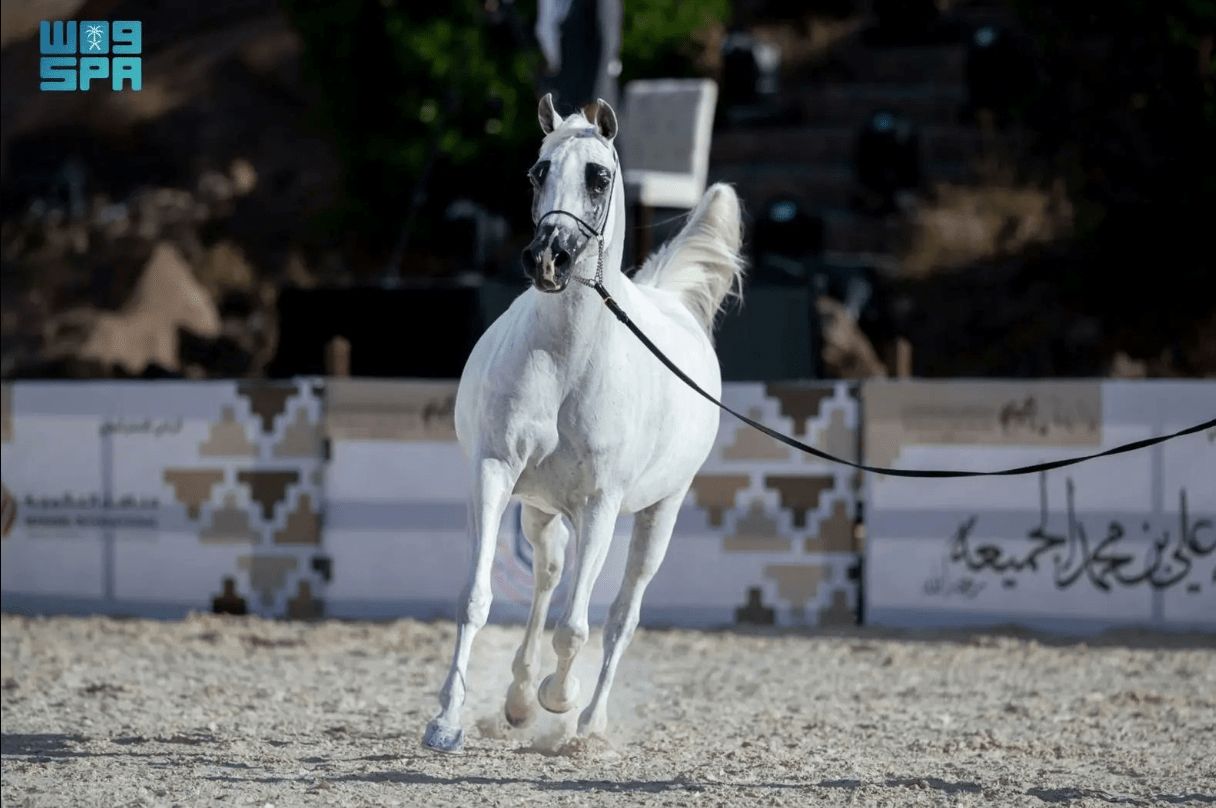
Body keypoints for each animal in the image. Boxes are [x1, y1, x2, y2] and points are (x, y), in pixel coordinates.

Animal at [428, 97, 749, 754]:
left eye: (598, 176)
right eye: (537, 172)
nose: (548, 258)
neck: (567, 360)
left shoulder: (602, 504)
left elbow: (577, 626)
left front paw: (562, 699)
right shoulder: (495, 473)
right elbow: (477, 596)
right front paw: (446, 722)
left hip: (657, 513)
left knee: (622, 613)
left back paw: (586, 723)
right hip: (541, 508)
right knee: (549, 578)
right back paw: (520, 700)